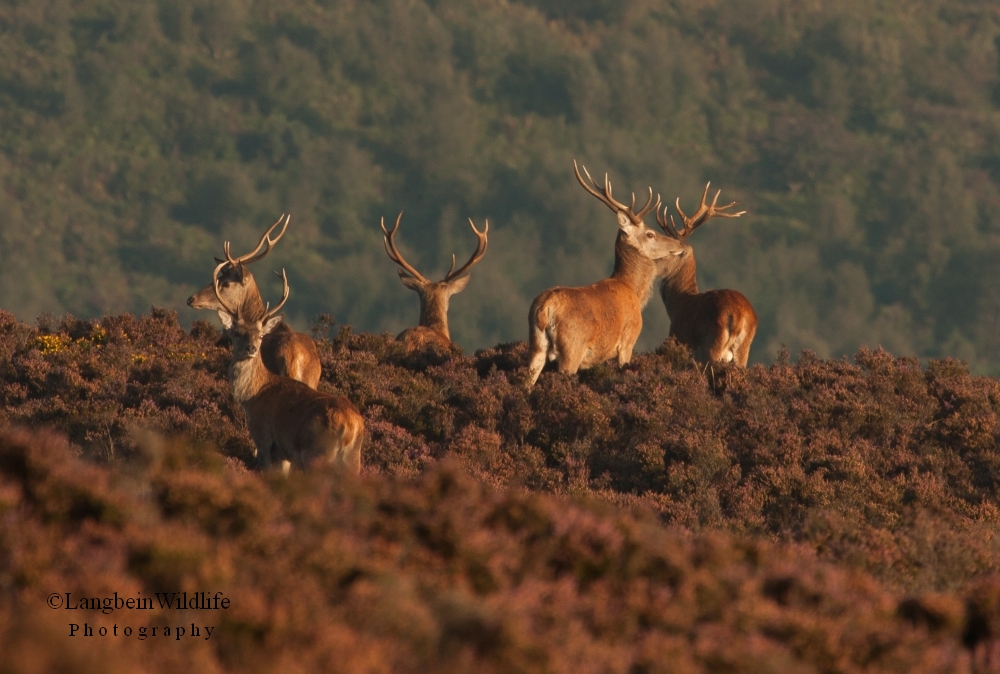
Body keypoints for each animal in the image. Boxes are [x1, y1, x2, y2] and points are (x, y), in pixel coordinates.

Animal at [214, 264, 364, 475]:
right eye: (236, 333)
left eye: (261, 335)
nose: (251, 348)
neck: (253, 395)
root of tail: (352, 426)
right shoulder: (283, 454)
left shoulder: (264, 439)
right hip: (353, 458)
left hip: (317, 453)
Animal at [526, 161, 678, 388]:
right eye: (650, 234)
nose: (678, 244)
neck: (633, 289)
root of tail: (545, 308)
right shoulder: (628, 341)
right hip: (572, 347)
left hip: (536, 345)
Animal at [654, 183, 757, 367]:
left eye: (669, 250)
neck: (678, 304)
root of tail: (739, 316)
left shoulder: (677, 338)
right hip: (743, 350)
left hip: (711, 344)